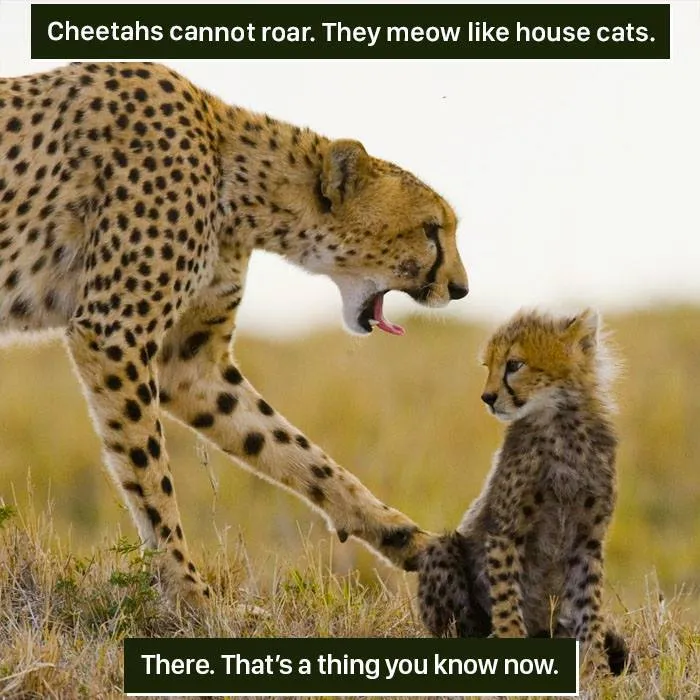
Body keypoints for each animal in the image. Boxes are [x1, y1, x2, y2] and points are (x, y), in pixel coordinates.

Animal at [0, 61, 468, 606]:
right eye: (431, 229)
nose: (461, 288)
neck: (236, 178)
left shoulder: (188, 364)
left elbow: (292, 448)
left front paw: (403, 536)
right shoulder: (114, 331)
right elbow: (150, 476)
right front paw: (189, 597)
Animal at [417, 309, 630, 675]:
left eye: (514, 364)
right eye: (487, 365)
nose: (487, 398)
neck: (560, 422)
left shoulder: (587, 539)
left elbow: (588, 604)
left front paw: (596, 668)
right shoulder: (507, 529)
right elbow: (505, 594)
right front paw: (510, 639)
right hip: (441, 552)